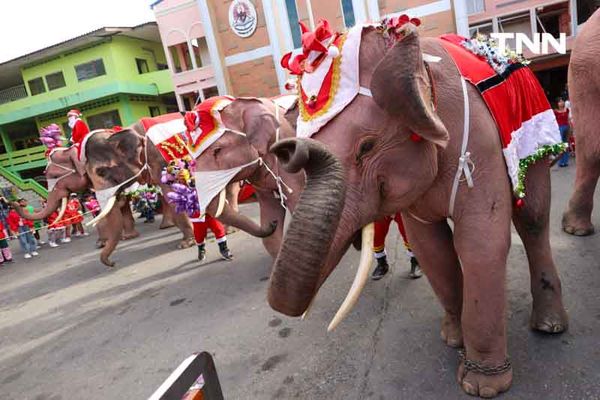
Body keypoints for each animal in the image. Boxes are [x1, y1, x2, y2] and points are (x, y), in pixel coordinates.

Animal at [266, 21, 568, 396]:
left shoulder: (480, 144)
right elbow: (431, 247)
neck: (413, 60)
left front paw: (482, 386)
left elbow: (480, 242)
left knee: (534, 217)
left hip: (536, 130)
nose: (285, 149)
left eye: (367, 147)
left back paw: (550, 325)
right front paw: (453, 339)